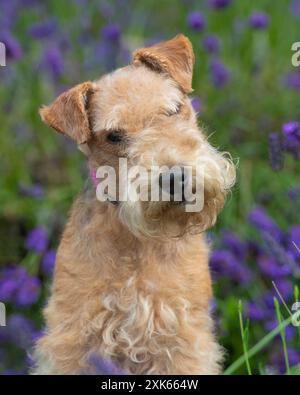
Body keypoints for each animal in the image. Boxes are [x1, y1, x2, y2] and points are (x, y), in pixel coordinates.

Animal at [32, 34, 234, 378]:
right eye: (114, 136)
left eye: (174, 109)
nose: (175, 177)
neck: (138, 242)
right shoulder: (73, 336)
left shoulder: (182, 335)